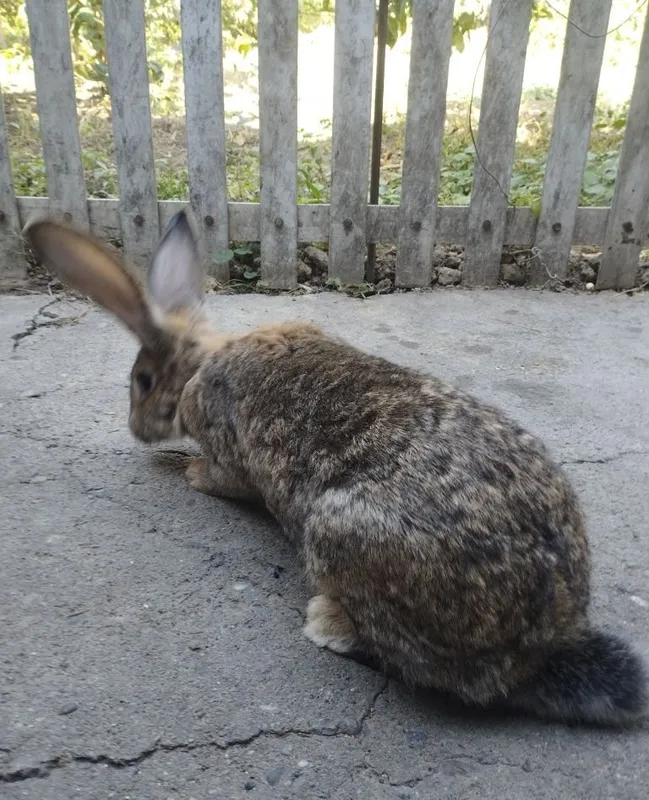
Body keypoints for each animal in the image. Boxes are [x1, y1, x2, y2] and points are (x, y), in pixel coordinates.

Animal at [25, 209, 647, 727]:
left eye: (144, 381)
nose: (136, 429)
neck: (204, 357)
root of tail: (532, 651)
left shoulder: (226, 445)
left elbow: (224, 477)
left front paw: (188, 471)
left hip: (336, 533)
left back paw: (327, 623)